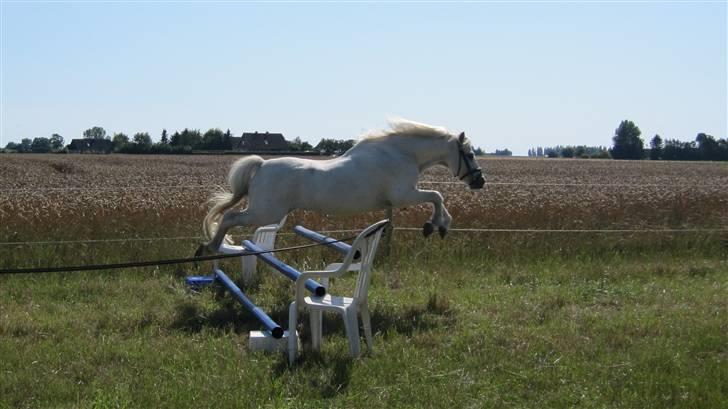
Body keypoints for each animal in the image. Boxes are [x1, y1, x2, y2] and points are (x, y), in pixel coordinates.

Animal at [196, 116, 486, 253]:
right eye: (470, 154)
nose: (480, 181)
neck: (401, 153)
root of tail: (263, 165)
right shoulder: (404, 196)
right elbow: (437, 196)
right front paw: (437, 226)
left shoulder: (403, 198)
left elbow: (437, 197)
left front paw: (436, 226)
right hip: (265, 213)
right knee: (229, 218)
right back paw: (210, 247)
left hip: (265, 213)